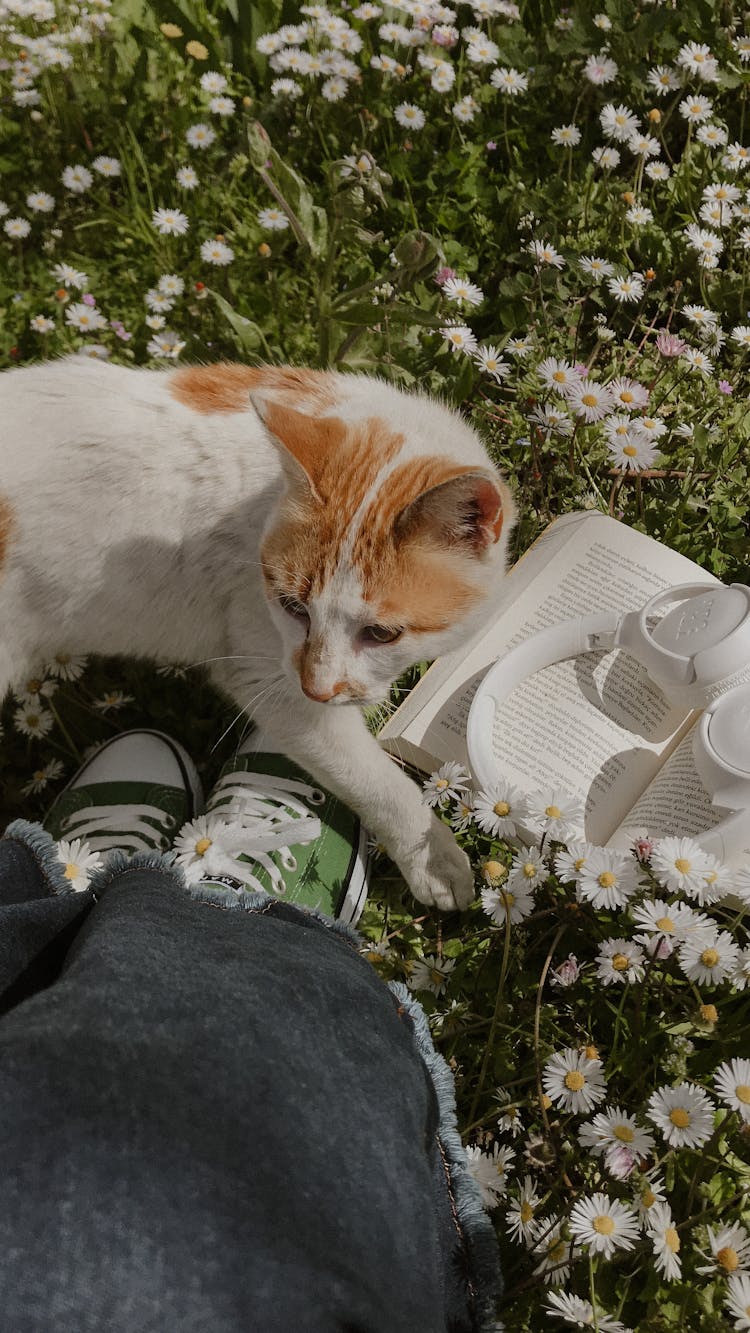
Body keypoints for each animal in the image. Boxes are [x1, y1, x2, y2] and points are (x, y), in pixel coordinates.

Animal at [0, 359, 516, 911]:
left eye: (381, 633)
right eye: (292, 607)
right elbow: (374, 778)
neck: (261, 498)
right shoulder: (266, 676)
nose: (318, 688)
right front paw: (432, 856)